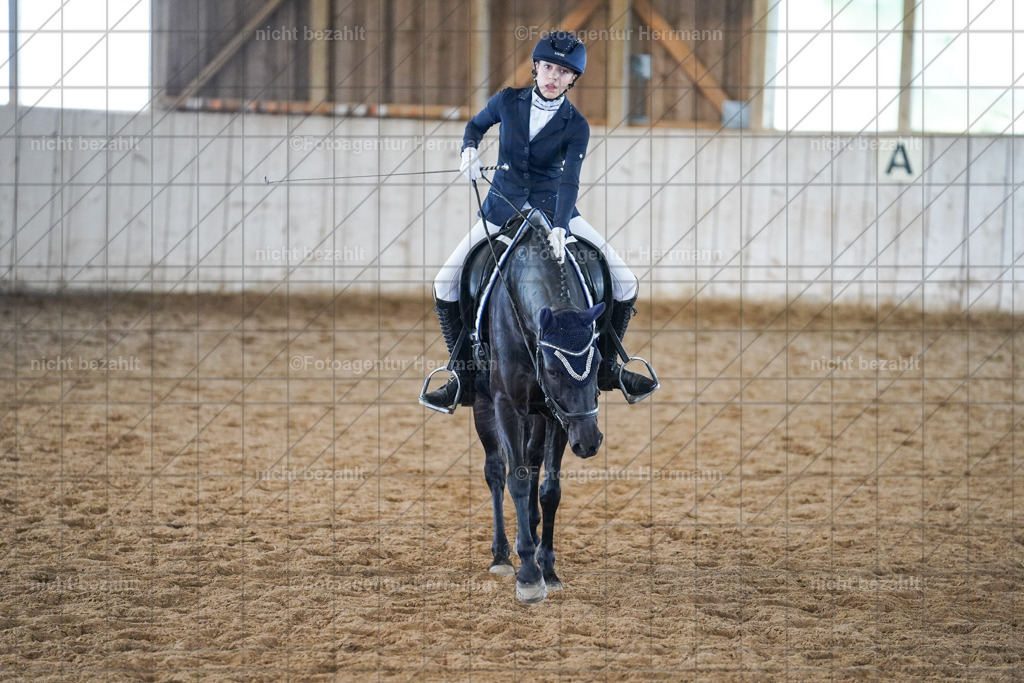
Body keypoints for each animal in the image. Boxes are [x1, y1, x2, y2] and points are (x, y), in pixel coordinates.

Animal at [471, 217, 605, 603]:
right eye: (554, 370)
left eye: (599, 362)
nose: (590, 442)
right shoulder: (507, 405)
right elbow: (514, 480)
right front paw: (529, 576)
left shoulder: (559, 415)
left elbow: (550, 489)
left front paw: (548, 568)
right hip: (484, 405)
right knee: (496, 470)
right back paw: (503, 554)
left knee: (531, 459)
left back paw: (527, 530)